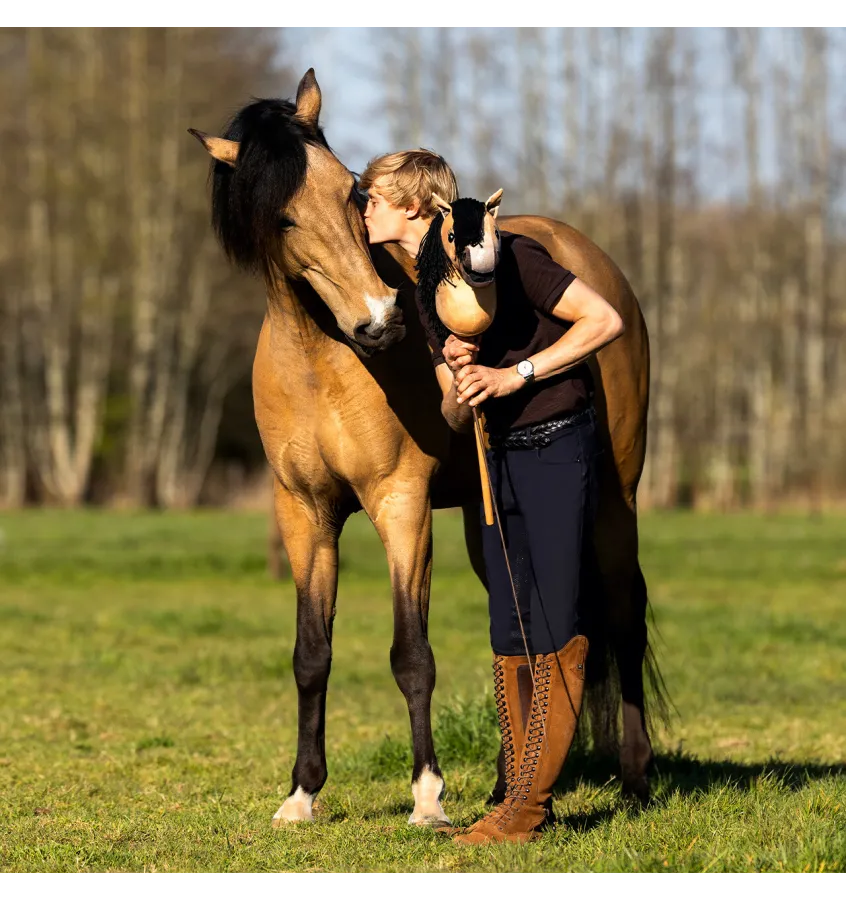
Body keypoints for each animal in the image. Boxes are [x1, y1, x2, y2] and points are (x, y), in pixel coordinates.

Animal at [190, 68, 662, 827]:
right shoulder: (304, 515)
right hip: (486, 518)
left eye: (350, 193)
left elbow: (412, 653)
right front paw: (301, 794)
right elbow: (311, 654)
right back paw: (509, 785)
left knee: (624, 615)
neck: (320, 362)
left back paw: (637, 777)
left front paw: (428, 798)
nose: (379, 321)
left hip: (615, 502)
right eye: (284, 219)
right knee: (524, 629)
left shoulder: (401, 506)